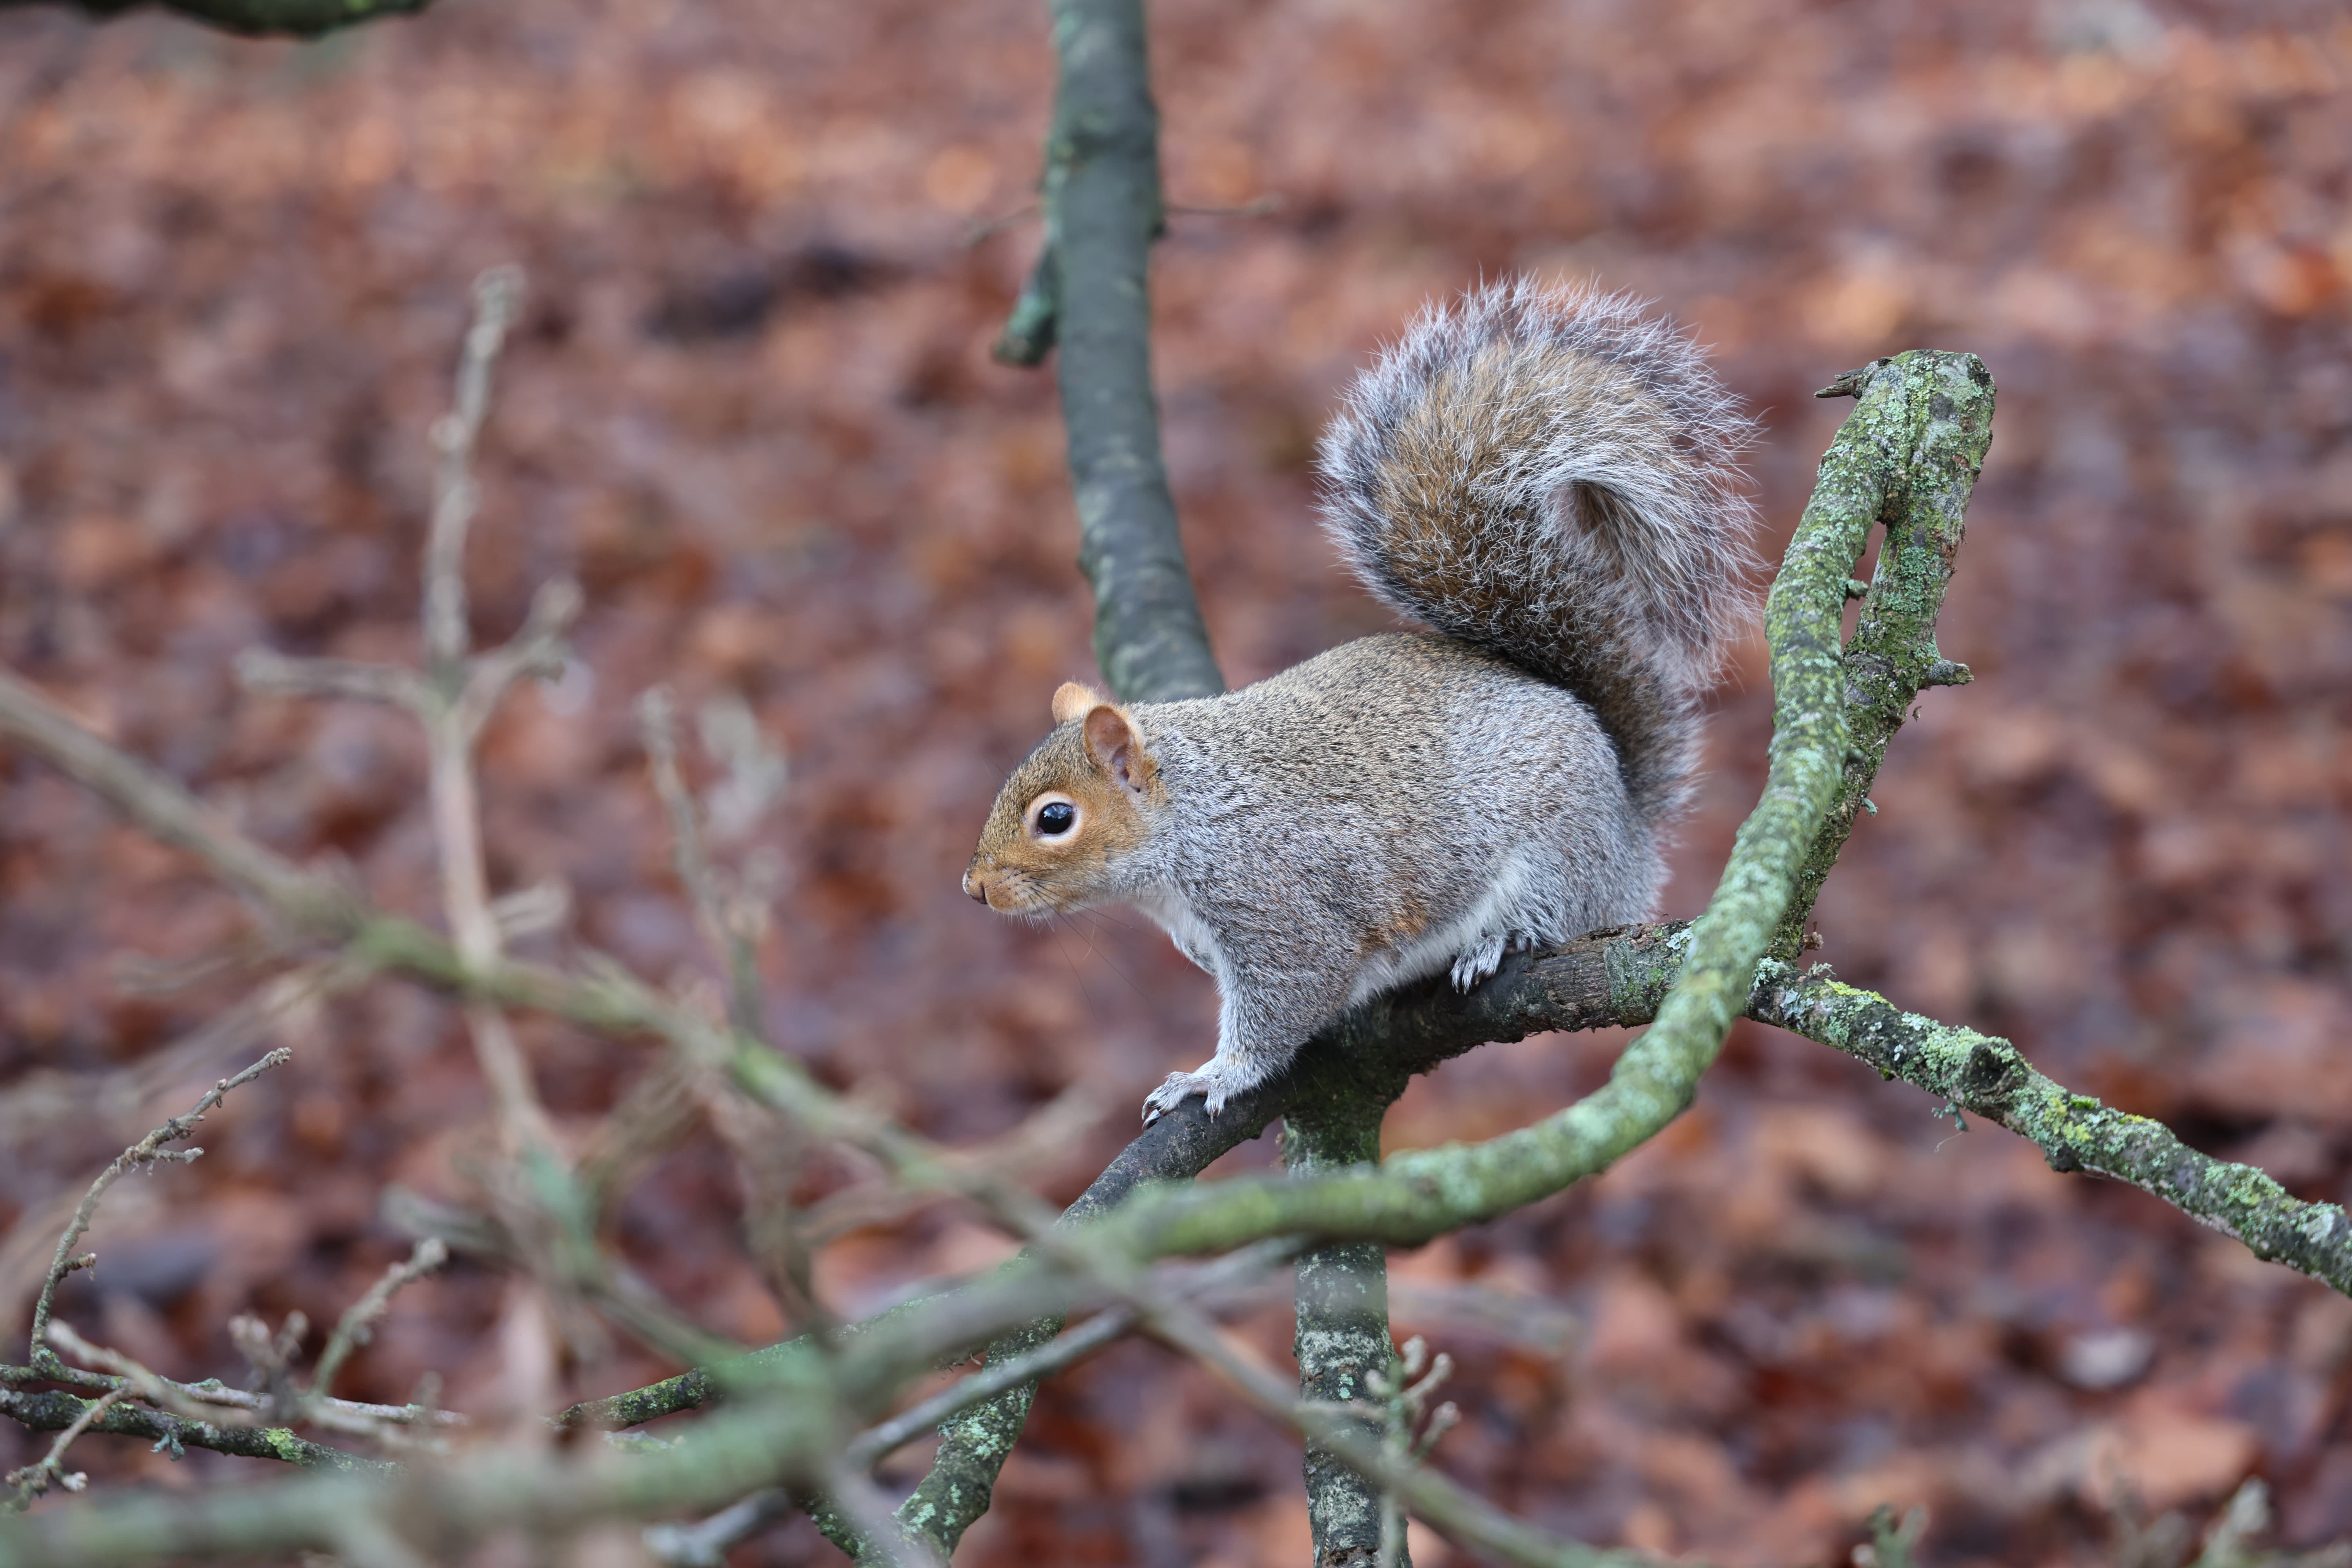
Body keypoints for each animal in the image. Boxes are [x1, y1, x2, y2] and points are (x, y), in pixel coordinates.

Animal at [964, 276, 1759, 1123]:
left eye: (1055, 819)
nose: (975, 889)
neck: (1191, 826)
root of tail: (1628, 819)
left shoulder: (1281, 907)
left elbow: (1286, 1003)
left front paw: (1213, 1075)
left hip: (1560, 846)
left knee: (1559, 908)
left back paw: (1502, 940)